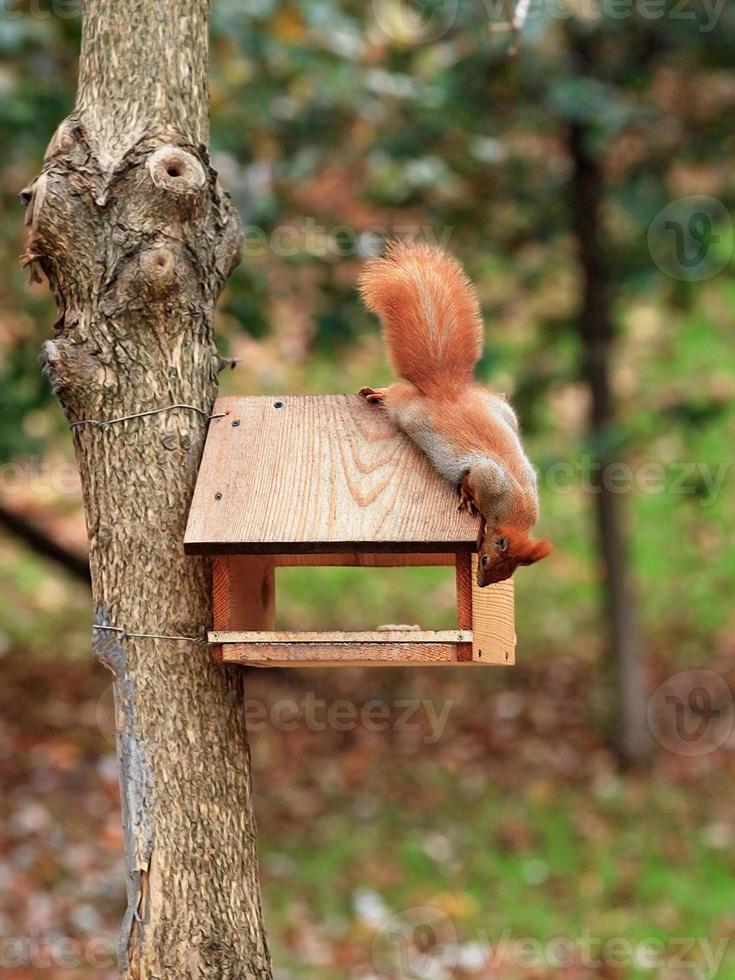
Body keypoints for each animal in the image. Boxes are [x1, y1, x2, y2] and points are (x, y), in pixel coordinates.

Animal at [356, 240, 552, 584]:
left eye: (504, 573)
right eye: (485, 559)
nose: (482, 583)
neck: (512, 513)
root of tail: (445, 388)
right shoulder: (487, 477)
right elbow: (471, 479)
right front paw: (467, 496)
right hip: (408, 411)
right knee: (396, 395)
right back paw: (379, 393)